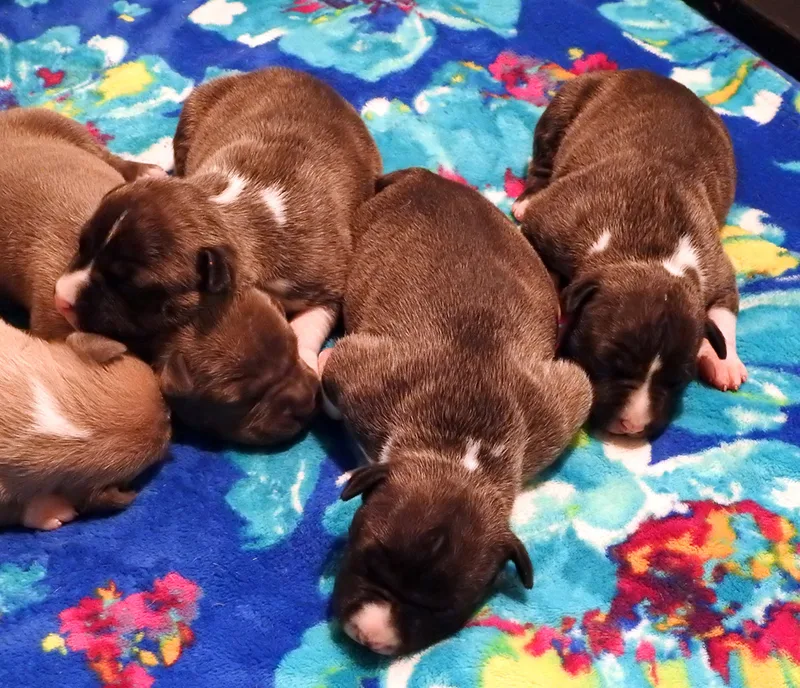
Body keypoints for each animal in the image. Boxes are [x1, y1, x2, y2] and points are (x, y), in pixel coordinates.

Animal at [321, 168, 592, 656]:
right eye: (368, 562)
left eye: (440, 607)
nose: (370, 637)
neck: (460, 449)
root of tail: (426, 175)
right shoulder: (359, 377)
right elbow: (333, 370)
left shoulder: (562, 407)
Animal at [512, 69, 744, 438]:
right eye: (608, 361)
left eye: (678, 380)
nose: (633, 427)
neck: (650, 253)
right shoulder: (551, 226)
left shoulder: (714, 266)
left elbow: (724, 310)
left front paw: (725, 361)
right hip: (564, 107)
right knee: (544, 157)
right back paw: (528, 196)